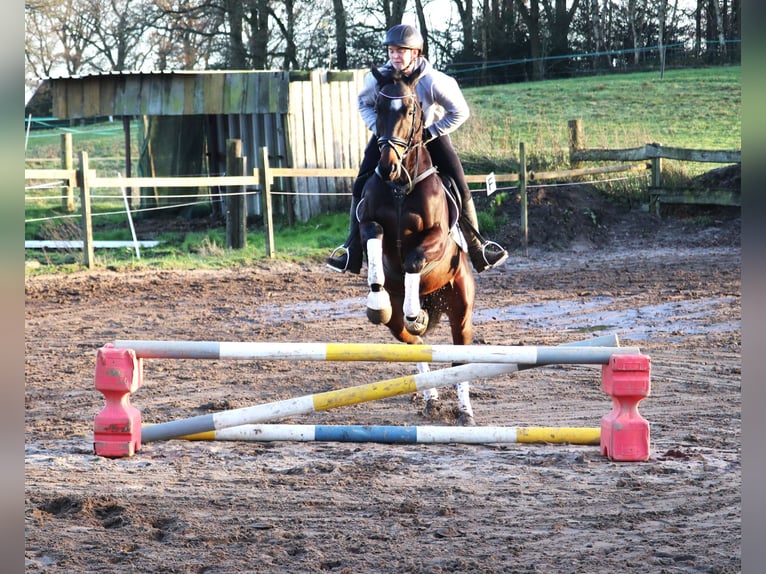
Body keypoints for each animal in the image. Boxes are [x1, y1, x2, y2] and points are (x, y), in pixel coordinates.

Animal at [356, 67, 476, 428]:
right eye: (378, 108)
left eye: (410, 111)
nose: (386, 166)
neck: (399, 185)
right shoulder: (370, 223)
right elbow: (374, 241)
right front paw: (377, 299)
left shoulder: (436, 236)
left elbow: (413, 260)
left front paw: (414, 310)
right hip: (396, 327)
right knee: (415, 342)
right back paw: (431, 397)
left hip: (461, 308)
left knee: (460, 358)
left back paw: (464, 411)